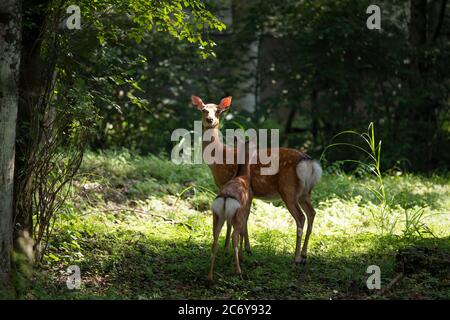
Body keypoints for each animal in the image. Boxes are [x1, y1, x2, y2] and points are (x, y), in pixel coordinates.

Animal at [192, 95, 322, 264]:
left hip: (288, 189)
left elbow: (232, 220)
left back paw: (296, 257)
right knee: (312, 213)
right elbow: (246, 219)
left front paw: (227, 250)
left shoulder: (225, 184)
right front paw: (248, 249)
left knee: (301, 217)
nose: (210, 119)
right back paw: (305, 254)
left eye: (218, 111)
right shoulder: (248, 193)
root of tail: (309, 163)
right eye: (203, 110)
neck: (219, 159)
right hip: (305, 192)